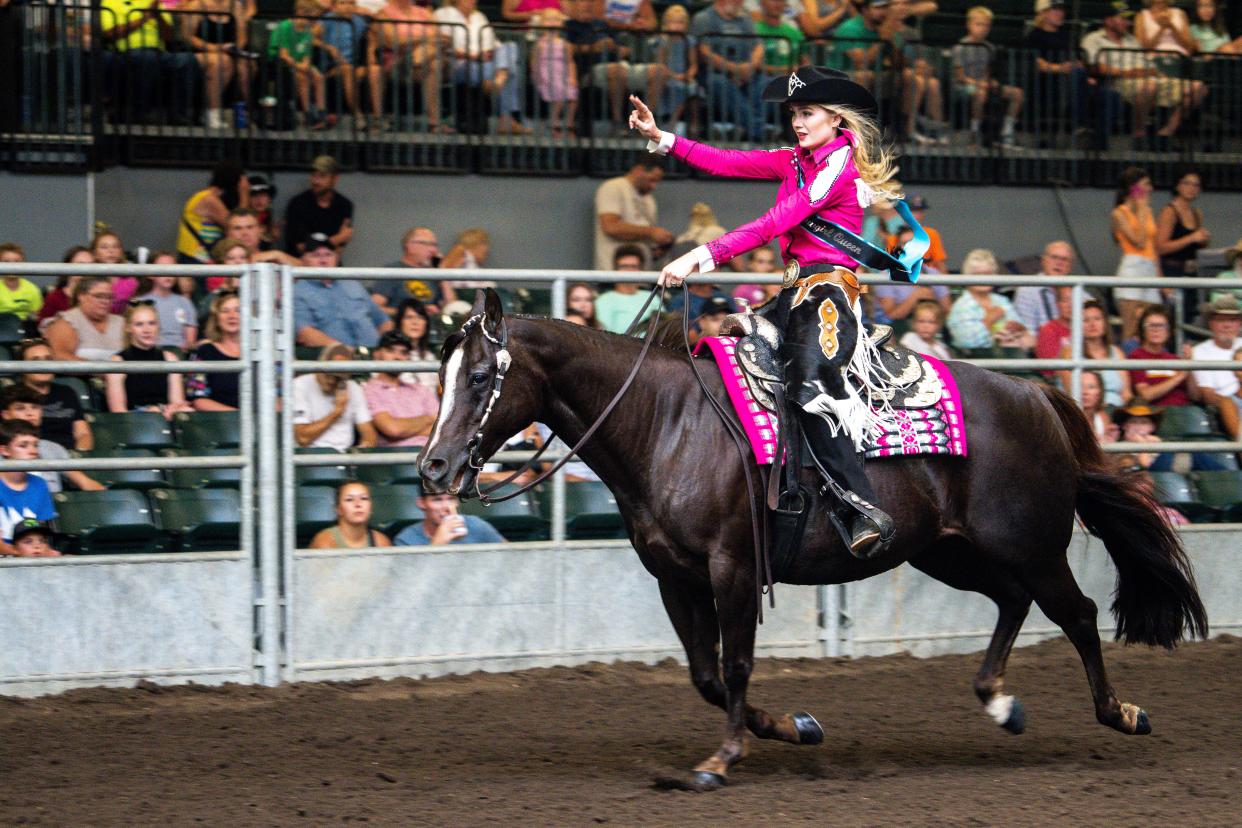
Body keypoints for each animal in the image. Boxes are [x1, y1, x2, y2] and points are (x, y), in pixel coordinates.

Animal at [417, 291, 1202, 789]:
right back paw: (999, 702)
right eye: (440, 374)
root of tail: (1035, 394)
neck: (668, 423)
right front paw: (796, 727)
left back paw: (1121, 713)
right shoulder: (676, 578)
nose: (434, 467)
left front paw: (721, 762)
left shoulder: (733, 568)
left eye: (481, 375)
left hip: (1031, 545)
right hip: (948, 551)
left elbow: (733, 667)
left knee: (1078, 614)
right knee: (1013, 603)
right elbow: (706, 676)